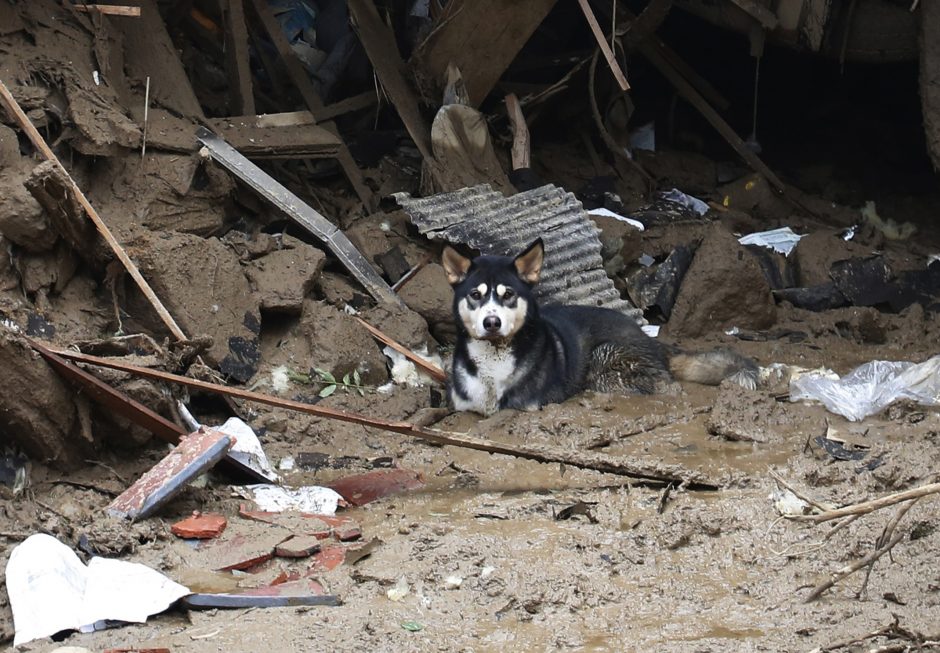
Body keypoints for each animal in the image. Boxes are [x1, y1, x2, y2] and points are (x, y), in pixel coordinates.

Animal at [444, 238, 760, 412]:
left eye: (508, 294)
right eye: (475, 295)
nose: (492, 322)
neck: (494, 358)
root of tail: (650, 339)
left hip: (604, 359)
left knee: (669, 387)